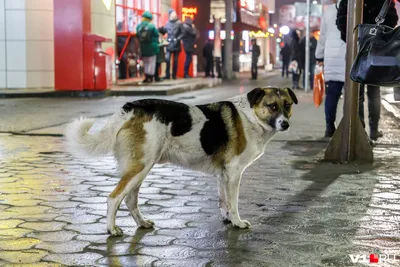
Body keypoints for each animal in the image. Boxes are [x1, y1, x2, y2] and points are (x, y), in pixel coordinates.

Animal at [65, 87, 296, 236]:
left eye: (287, 105)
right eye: (272, 106)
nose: (285, 124)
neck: (251, 117)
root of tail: (132, 107)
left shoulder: (223, 174)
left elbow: (224, 202)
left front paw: (228, 219)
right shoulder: (234, 173)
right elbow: (234, 203)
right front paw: (238, 222)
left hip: (141, 168)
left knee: (130, 199)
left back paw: (142, 223)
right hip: (140, 166)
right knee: (114, 198)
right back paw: (111, 229)